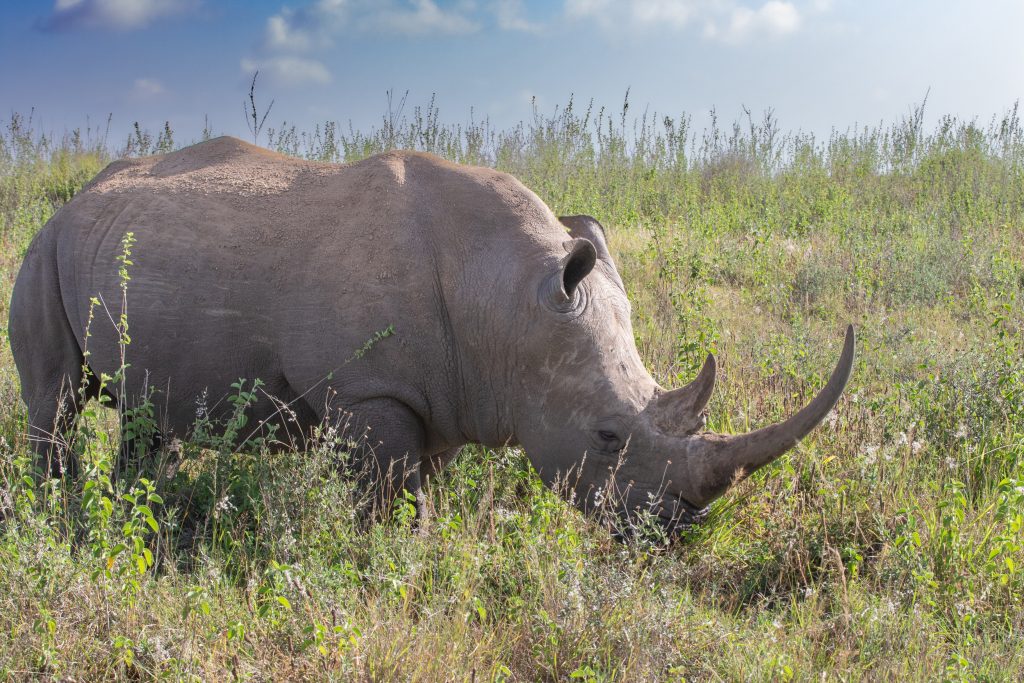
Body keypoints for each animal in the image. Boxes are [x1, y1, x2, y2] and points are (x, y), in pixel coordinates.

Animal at [9, 136, 854, 533]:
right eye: (608, 437)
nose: (677, 527)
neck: (507, 298)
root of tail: (74, 199)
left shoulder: (451, 393)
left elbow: (428, 492)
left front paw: (424, 552)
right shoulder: (368, 392)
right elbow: (391, 498)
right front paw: (385, 565)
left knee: (145, 410)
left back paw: (130, 512)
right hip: (43, 249)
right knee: (55, 400)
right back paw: (58, 519)